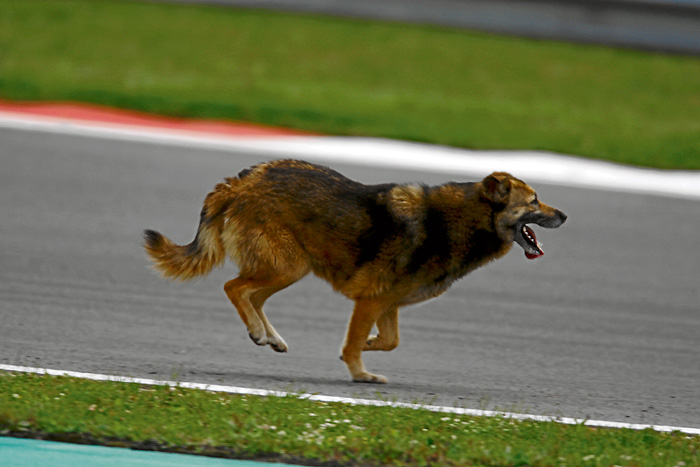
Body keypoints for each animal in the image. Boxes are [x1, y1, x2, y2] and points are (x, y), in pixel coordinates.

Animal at [145, 160, 568, 384]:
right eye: (533, 201)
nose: (565, 215)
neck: (459, 221)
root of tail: (239, 182)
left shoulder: (387, 304)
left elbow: (389, 341)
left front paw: (366, 348)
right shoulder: (370, 301)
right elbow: (358, 342)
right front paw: (361, 373)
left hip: (288, 268)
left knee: (251, 296)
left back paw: (269, 336)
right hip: (287, 266)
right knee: (234, 288)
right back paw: (258, 331)